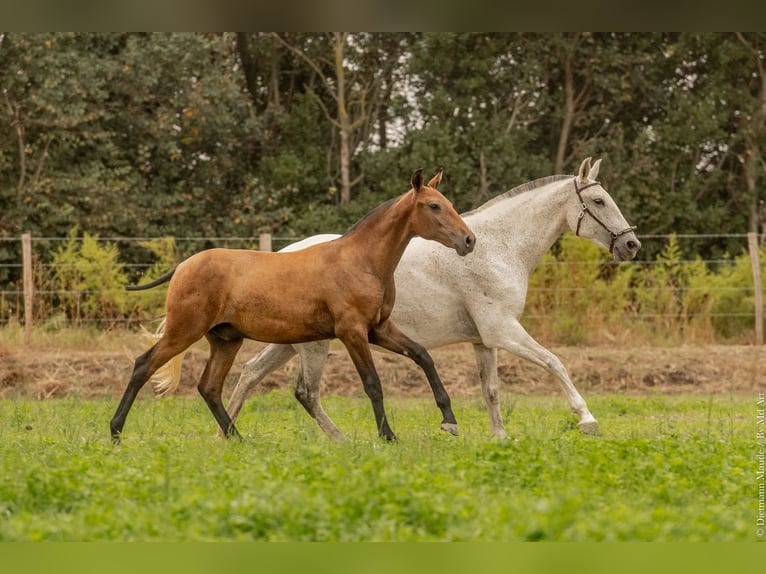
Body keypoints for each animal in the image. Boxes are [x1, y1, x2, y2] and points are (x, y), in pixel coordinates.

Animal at [111, 169, 476, 444]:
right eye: (433, 206)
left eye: (448, 203)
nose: (469, 240)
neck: (362, 262)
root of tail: (183, 266)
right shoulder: (352, 332)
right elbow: (373, 384)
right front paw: (389, 436)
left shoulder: (379, 329)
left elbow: (423, 356)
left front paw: (449, 421)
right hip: (183, 331)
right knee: (143, 366)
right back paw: (115, 432)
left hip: (226, 340)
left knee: (209, 387)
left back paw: (238, 438)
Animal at [226, 156, 640, 436]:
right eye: (599, 201)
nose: (632, 245)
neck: (500, 248)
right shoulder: (503, 330)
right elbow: (555, 363)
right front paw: (587, 419)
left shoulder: (484, 340)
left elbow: (492, 391)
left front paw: (499, 438)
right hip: (313, 344)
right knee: (303, 391)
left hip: (294, 342)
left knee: (252, 374)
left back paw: (226, 434)